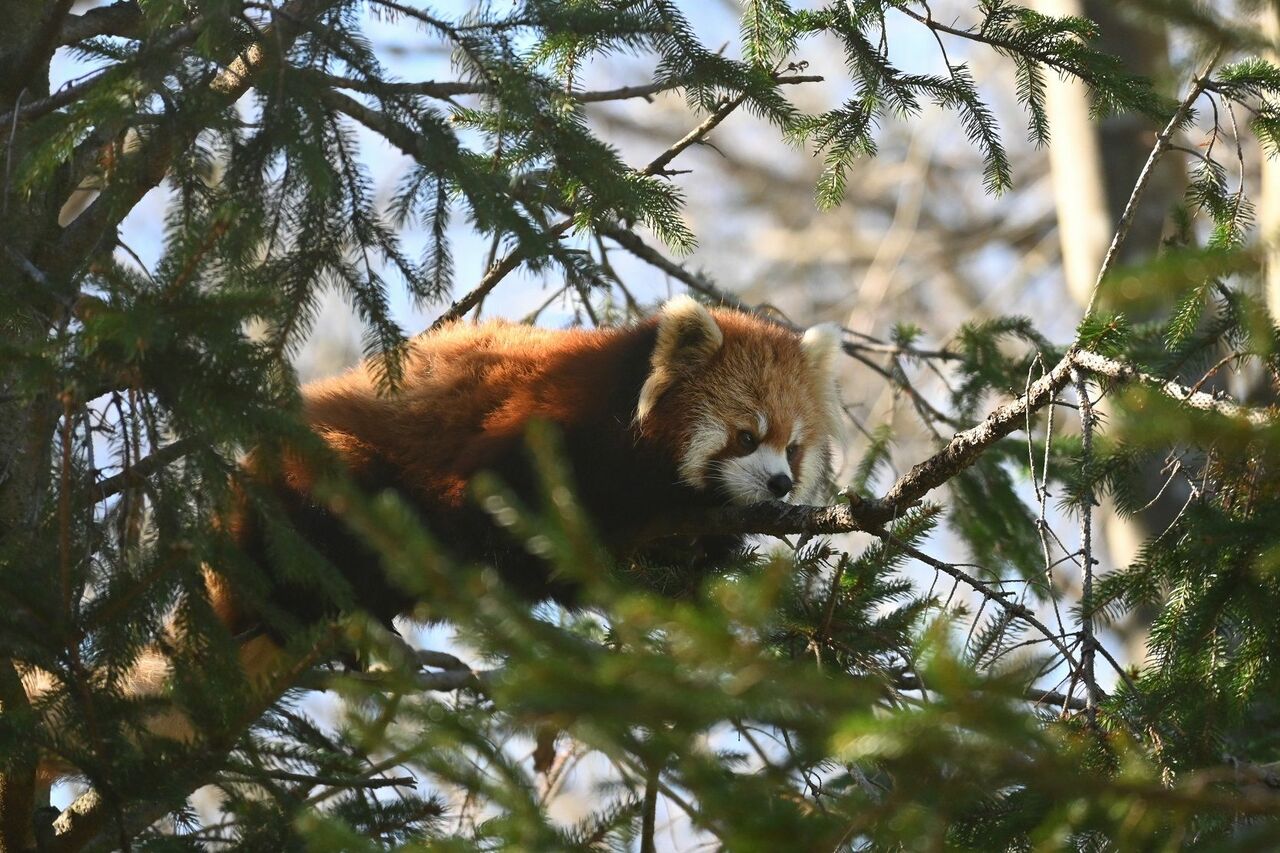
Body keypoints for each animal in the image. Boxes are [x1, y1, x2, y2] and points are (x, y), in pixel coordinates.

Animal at [24, 294, 844, 783]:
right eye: (745, 437)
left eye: (795, 447)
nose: (779, 487)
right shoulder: (537, 432)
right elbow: (500, 514)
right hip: (311, 483)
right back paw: (355, 611)